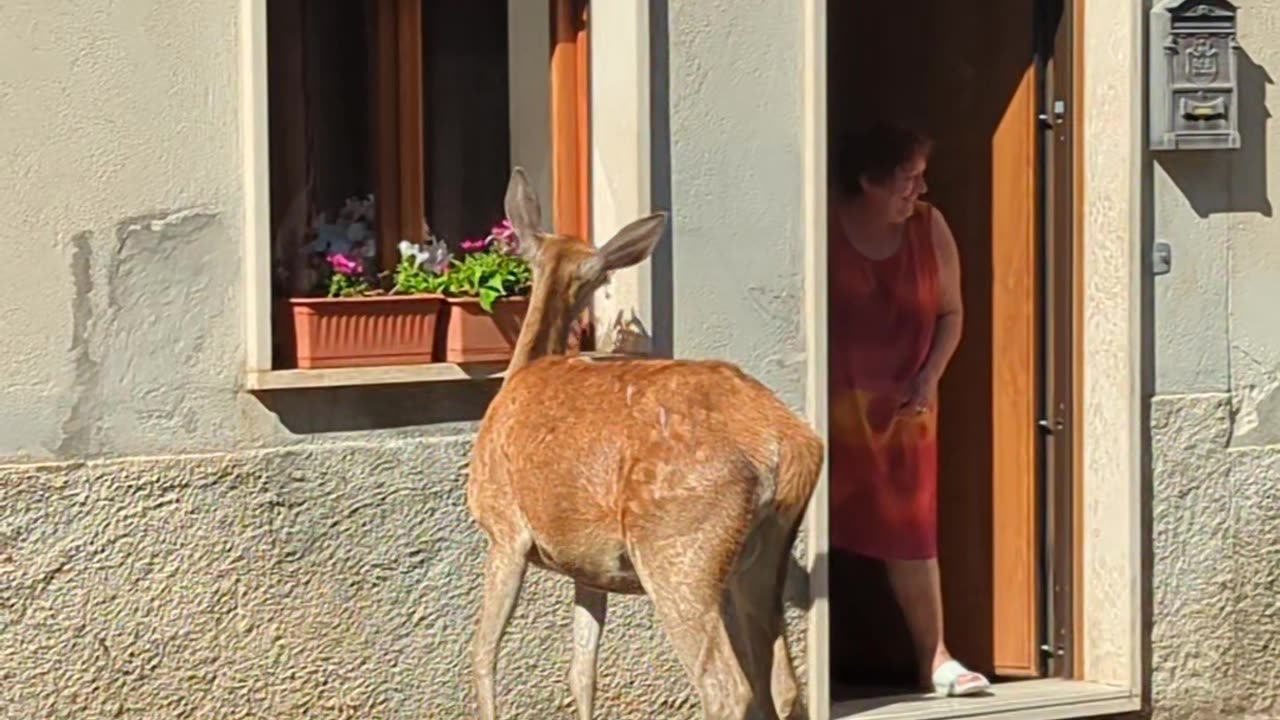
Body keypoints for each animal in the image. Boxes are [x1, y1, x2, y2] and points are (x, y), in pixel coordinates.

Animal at [465, 165, 824, 712]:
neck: (519, 374)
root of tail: (790, 445)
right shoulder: (588, 565)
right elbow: (581, 671)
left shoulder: (504, 528)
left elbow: (484, 654)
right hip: (760, 560)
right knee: (783, 686)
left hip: (679, 550)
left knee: (728, 687)